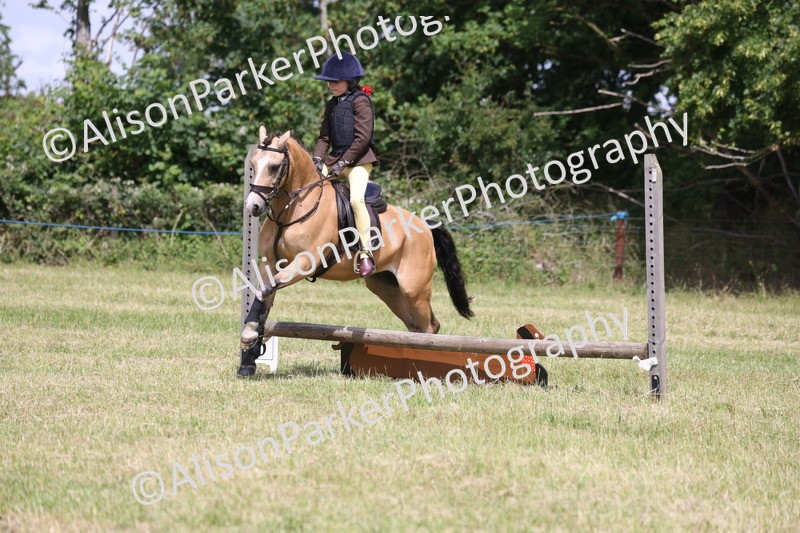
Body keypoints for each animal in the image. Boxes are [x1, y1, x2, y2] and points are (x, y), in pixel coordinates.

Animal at [238, 125, 473, 377]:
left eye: (274, 167)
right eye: (253, 164)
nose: (253, 206)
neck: (292, 211)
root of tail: (424, 225)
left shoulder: (305, 263)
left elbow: (266, 290)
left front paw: (249, 335)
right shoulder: (271, 264)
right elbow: (264, 296)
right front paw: (249, 358)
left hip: (414, 288)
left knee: (430, 327)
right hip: (385, 287)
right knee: (414, 326)